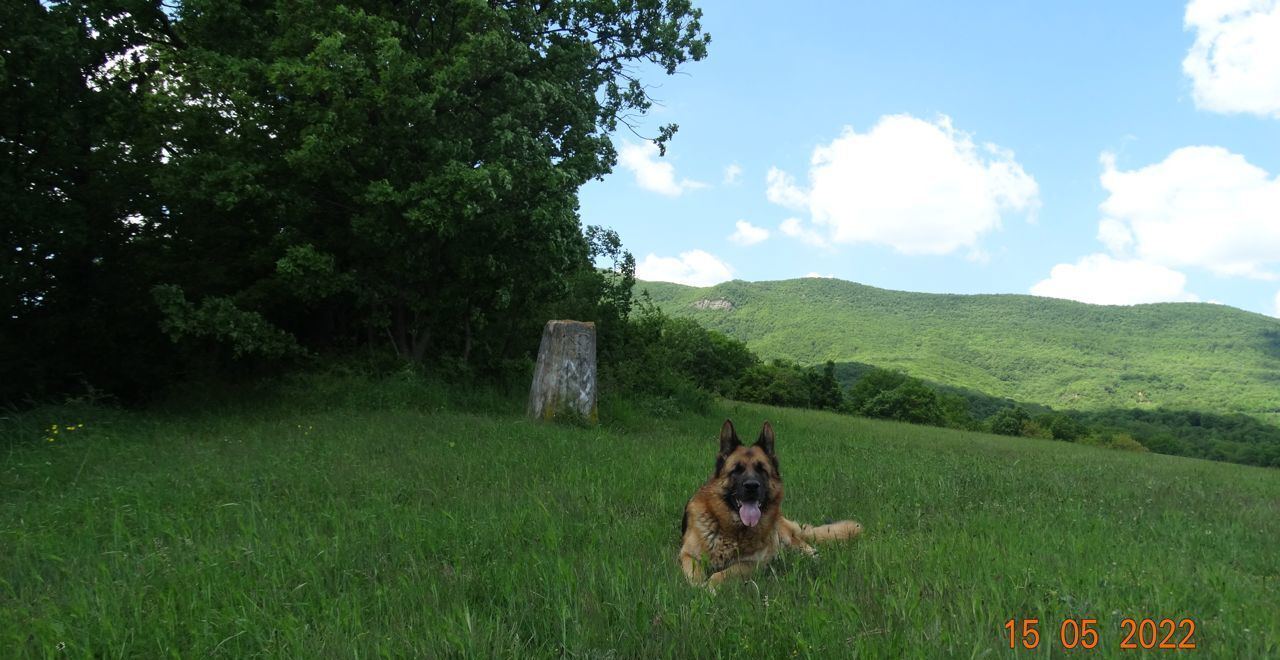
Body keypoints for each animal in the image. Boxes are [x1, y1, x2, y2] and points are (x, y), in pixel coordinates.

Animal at [680, 419, 860, 585]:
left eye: (762, 470)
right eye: (737, 470)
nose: (751, 486)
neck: (731, 531)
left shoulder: (752, 564)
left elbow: (723, 574)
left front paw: (710, 586)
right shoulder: (687, 554)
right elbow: (695, 573)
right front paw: (698, 586)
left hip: (788, 539)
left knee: (807, 548)